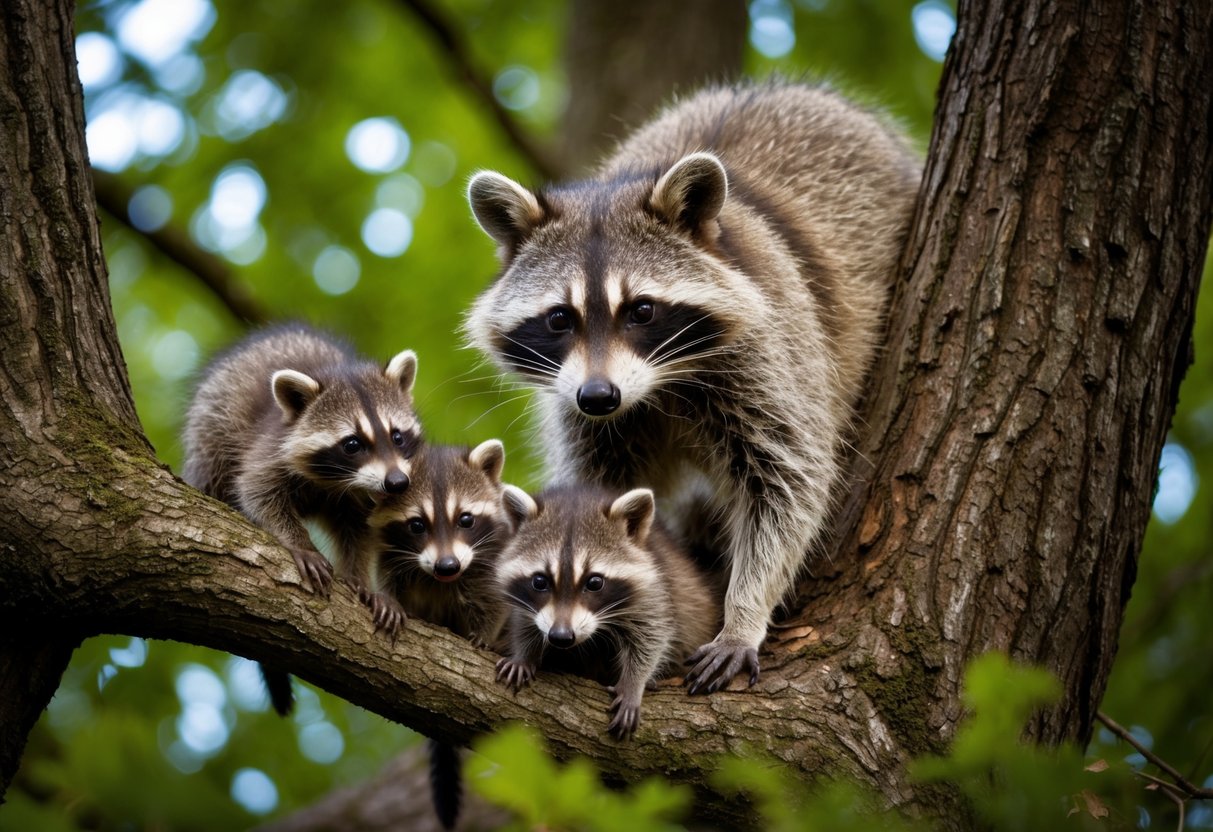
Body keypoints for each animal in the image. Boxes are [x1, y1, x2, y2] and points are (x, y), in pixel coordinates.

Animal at [182, 323, 422, 624]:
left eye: (397, 437)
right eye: (352, 444)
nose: (397, 483)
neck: (334, 479)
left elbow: (359, 529)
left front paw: (358, 577)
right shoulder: (270, 447)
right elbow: (257, 490)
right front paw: (299, 542)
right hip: (211, 424)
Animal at [465, 81, 920, 693]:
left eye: (642, 310)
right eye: (560, 318)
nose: (599, 397)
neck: (657, 385)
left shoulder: (773, 350)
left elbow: (788, 483)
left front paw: (744, 614)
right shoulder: (579, 407)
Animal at [494, 484, 719, 739]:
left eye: (594, 582)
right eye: (540, 581)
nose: (560, 637)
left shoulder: (654, 589)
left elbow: (652, 635)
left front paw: (634, 683)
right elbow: (525, 621)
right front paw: (523, 654)